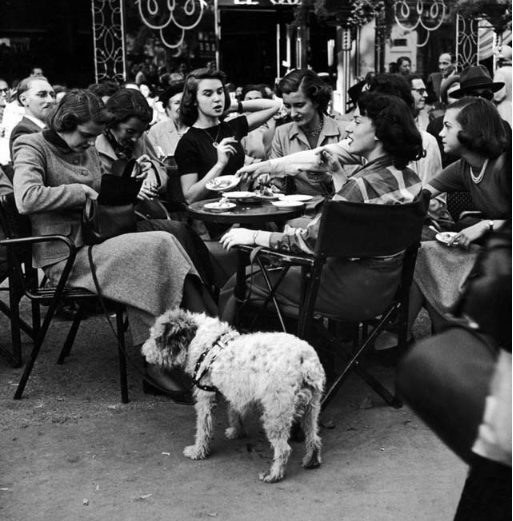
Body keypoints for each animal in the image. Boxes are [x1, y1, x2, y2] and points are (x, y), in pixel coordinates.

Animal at [141, 306, 324, 482]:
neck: (201, 341)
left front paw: (197, 451)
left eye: (157, 338)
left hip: (276, 414)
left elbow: (203, 427)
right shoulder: (235, 390)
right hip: (311, 409)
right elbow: (234, 411)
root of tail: (304, 359)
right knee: (314, 439)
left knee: (284, 449)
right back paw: (311, 461)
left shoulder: (205, 394)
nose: (143, 353)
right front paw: (237, 431)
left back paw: (273, 475)